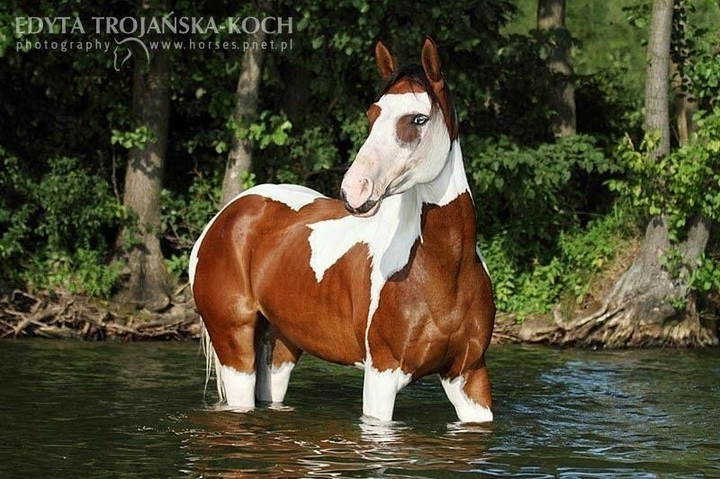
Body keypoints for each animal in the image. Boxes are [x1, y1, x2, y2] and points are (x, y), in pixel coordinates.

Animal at [189, 37, 495, 423]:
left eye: (419, 118)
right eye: (372, 114)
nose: (355, 189)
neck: (445, 271)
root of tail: (226, 216)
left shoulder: (469, 377)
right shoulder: (381, 377)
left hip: (281, 347)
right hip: (235, 346)